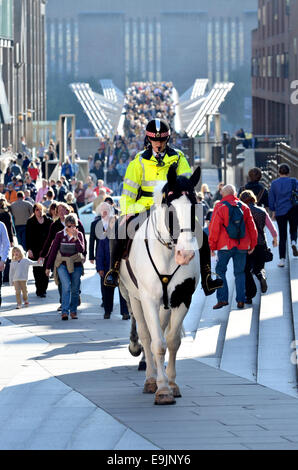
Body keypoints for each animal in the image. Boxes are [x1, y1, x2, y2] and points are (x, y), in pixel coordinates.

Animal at [120, 164, 201, 404]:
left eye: (195, 205)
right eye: (170, 209)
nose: (185, 254)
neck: (167, 253)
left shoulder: (182, 298)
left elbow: (172, 341)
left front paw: (171, 384)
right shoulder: (148, 299)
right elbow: (156, 342)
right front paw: (162, 388)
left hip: (165, 304)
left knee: (163, 331)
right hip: (134, 298)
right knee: (146, 336)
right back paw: (150, 378)